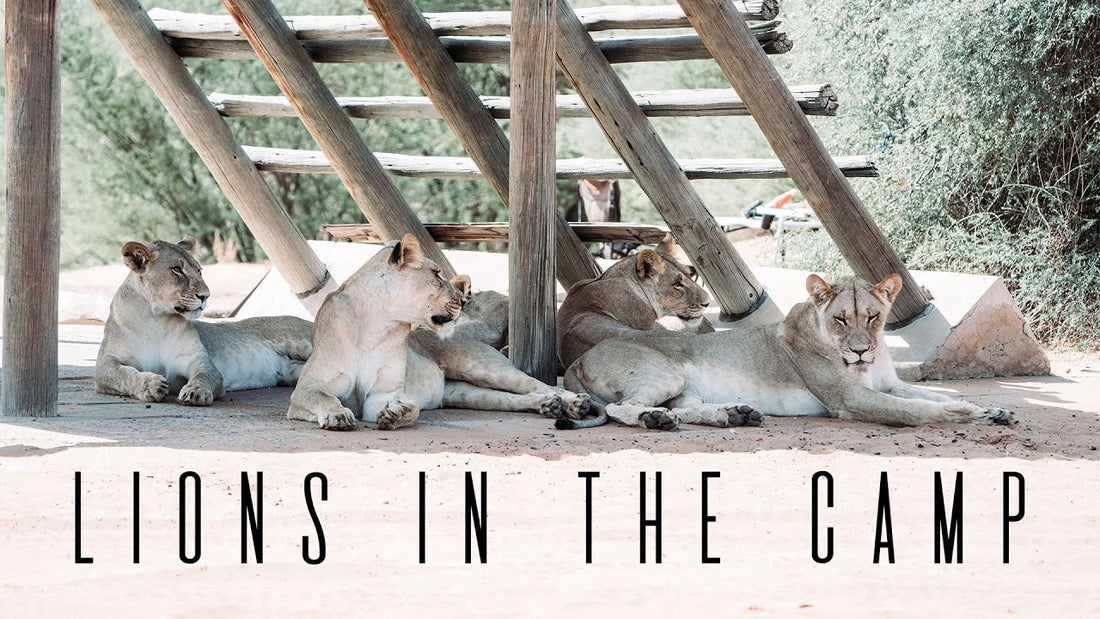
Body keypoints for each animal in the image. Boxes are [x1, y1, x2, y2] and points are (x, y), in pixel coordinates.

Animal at [95, 235, 312, 406]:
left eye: (199, 270)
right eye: (177, 270)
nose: (205, 296)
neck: (156, 318)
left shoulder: (200, 363)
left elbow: (203, 376)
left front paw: (195, 392)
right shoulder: (104, 364)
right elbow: (124, 375)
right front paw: (151, 385)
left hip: (302, 342)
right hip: (294, 371)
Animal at [562, 274, 1014, 430]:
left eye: (873, 317)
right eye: (841, 320)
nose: (861, 352)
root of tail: (580, 358)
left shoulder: (889, 384)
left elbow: (927, 394)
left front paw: (993, 410)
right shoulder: (848, 399)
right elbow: (916, 410)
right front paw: (960, 415)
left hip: (685, 388)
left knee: (686, 408)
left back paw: (733, 414)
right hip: (666, 373)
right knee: (623, 408)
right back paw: (654, 420)